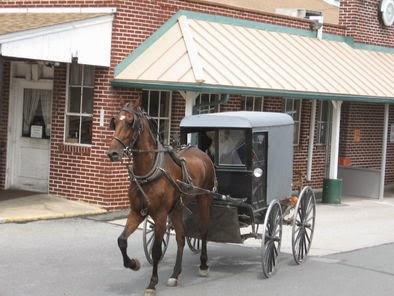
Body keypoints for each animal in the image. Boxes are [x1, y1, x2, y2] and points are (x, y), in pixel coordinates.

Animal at [106, 102, 215, 296]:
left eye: (130, 122)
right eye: (115, 122)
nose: (113, 153)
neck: (150, 171)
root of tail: (202, 153)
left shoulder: (161, 215)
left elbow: (156, 250)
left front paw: (152, 283)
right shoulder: (137, 212)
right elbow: (122, 240)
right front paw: (133, 264)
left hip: (204, 198)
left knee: (203, 230)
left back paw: (203, 265)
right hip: (177, 208)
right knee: (181, 237)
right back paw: (175, 274)